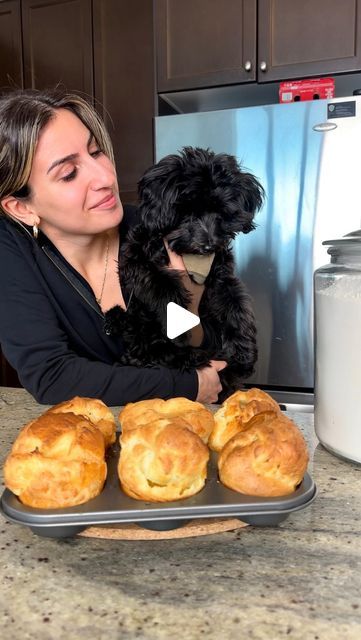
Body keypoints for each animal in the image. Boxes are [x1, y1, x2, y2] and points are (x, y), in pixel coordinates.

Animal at [104, 148, 264, 400]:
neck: (189, 256)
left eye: (220, 212)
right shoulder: (136, 261)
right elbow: (162, 283)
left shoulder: (221, 278)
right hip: (143, 323)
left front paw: (243, 351)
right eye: (187, 212)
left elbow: (237, 304)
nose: (208, 245)